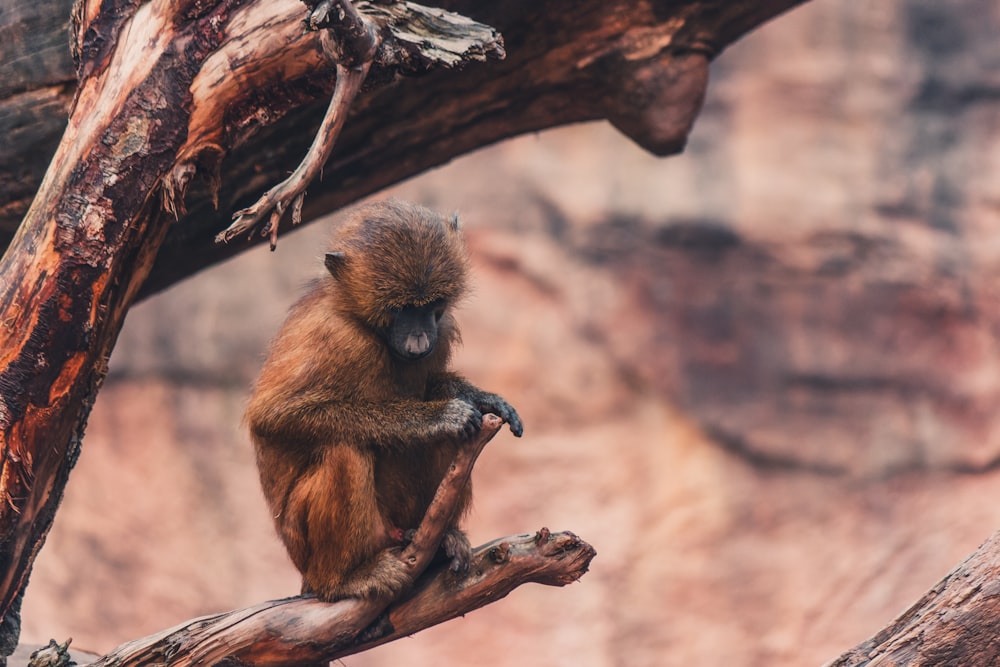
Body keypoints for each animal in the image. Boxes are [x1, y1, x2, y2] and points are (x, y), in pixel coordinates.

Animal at [246, 201, 524, 604]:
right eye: (399, 309)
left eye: (431, 305)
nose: (419, 341)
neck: (366, 324)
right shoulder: (334, 336)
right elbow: (274, 415)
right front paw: (439, 416)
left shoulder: (441, 331)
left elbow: (435, 386)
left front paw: (480, 398)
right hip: (307, 546)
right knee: (345, 447)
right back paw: (342, 580)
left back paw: (440, 542)